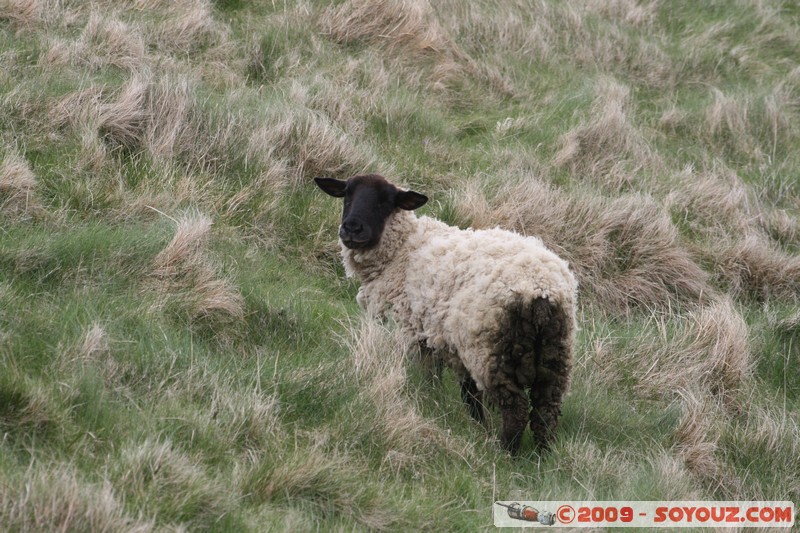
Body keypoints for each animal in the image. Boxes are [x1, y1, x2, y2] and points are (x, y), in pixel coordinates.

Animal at [316, 172, 580, 450]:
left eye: (386, 202)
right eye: (347, 195)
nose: (352, 228)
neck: (403, 249)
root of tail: (541, 290)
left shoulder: (417, 336)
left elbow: (430, 380)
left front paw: (427, 403)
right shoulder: (453, 344)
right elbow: (470, 395)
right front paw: (477, 425)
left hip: (491, 352)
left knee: (516, 412)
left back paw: (505, 452)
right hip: (555, 356)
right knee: (546, 415)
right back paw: (541, 456)